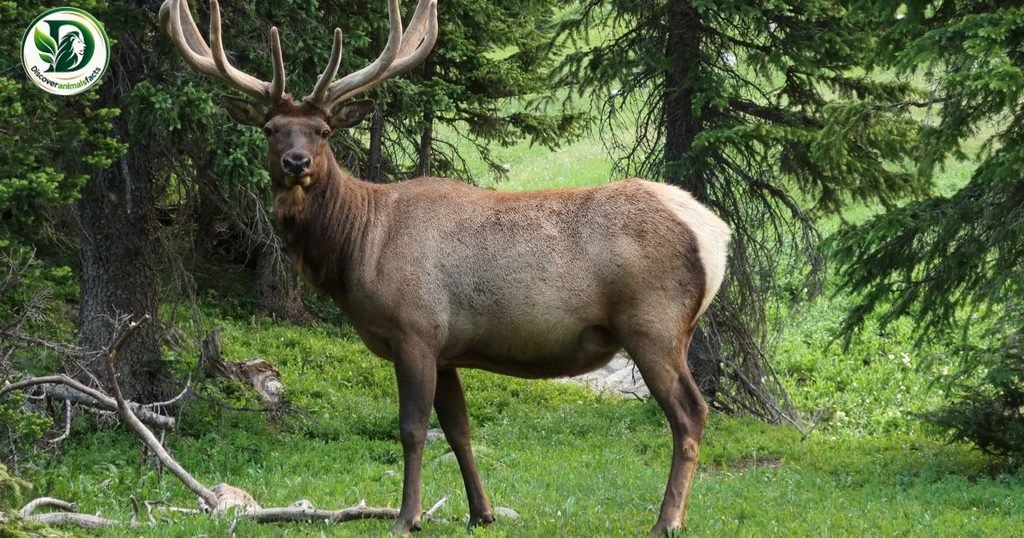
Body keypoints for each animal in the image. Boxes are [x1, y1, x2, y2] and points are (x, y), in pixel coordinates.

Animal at [159, 0, 730, 535]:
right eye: (271, 128)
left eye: (322, 130)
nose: (295, 163)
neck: (356, 250)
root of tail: (716, 233)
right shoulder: (448, 347)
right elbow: (459, 430)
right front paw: (481, 513)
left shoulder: (414, 330)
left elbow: (412, 429)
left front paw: (406, 516)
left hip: (653, 323)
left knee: (690, 413)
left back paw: (667, 520)